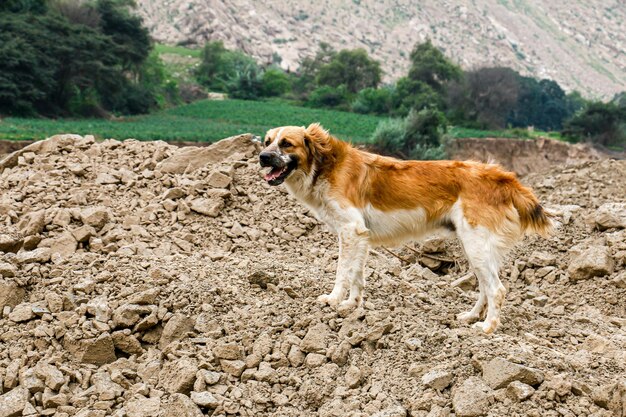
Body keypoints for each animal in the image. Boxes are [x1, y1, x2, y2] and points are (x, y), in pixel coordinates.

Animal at [258, 122, 552, 332]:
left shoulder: (351, 230)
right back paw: (470, 317)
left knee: (497, 289)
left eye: (286, 144)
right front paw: (352, 305)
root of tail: (501, 176)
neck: (325, 166)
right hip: (476, 248)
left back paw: (487, 327)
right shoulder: (360, 235)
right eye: (267, 141)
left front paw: (332, 300)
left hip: (476, 245)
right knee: (484, 287)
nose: (262, 157)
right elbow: (357, 275)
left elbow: (343, 271)